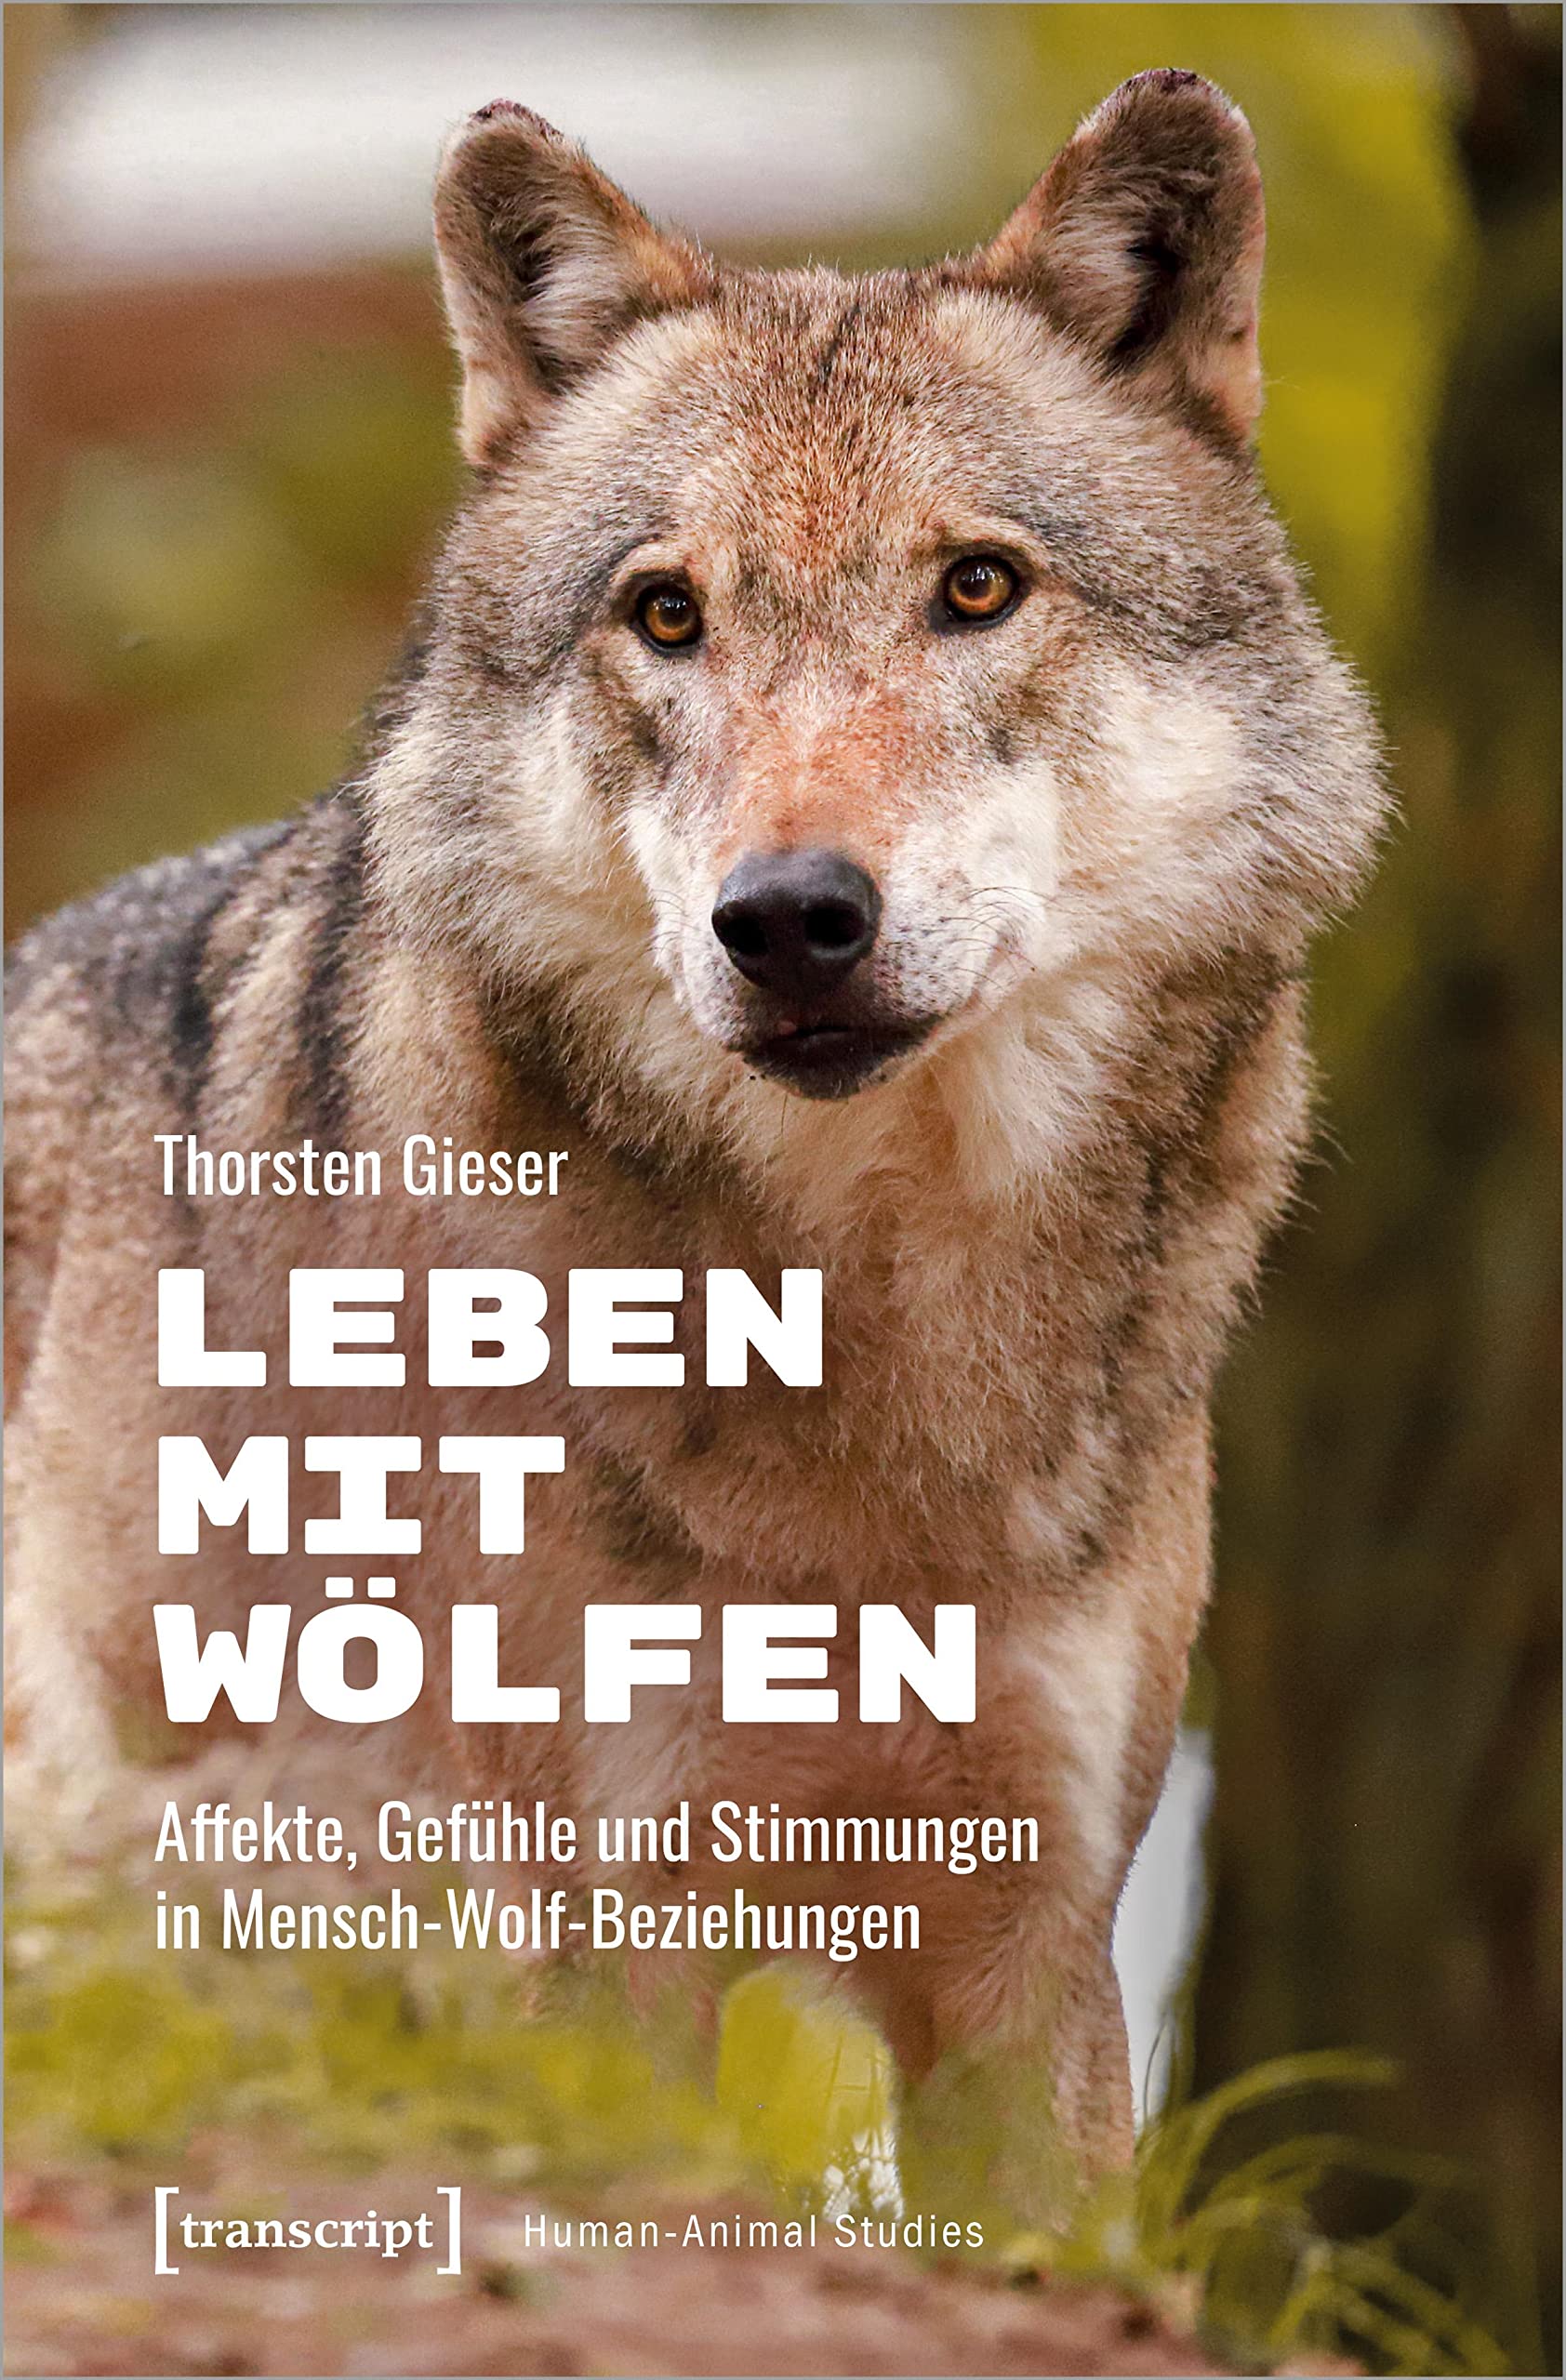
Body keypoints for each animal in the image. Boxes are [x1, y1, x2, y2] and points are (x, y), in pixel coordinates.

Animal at [5, 72, 1384, 2186]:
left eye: (973, 586)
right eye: (664, 614)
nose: (788, 917)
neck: (865, 1362)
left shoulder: (1029, 1958)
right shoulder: (596, 1946)